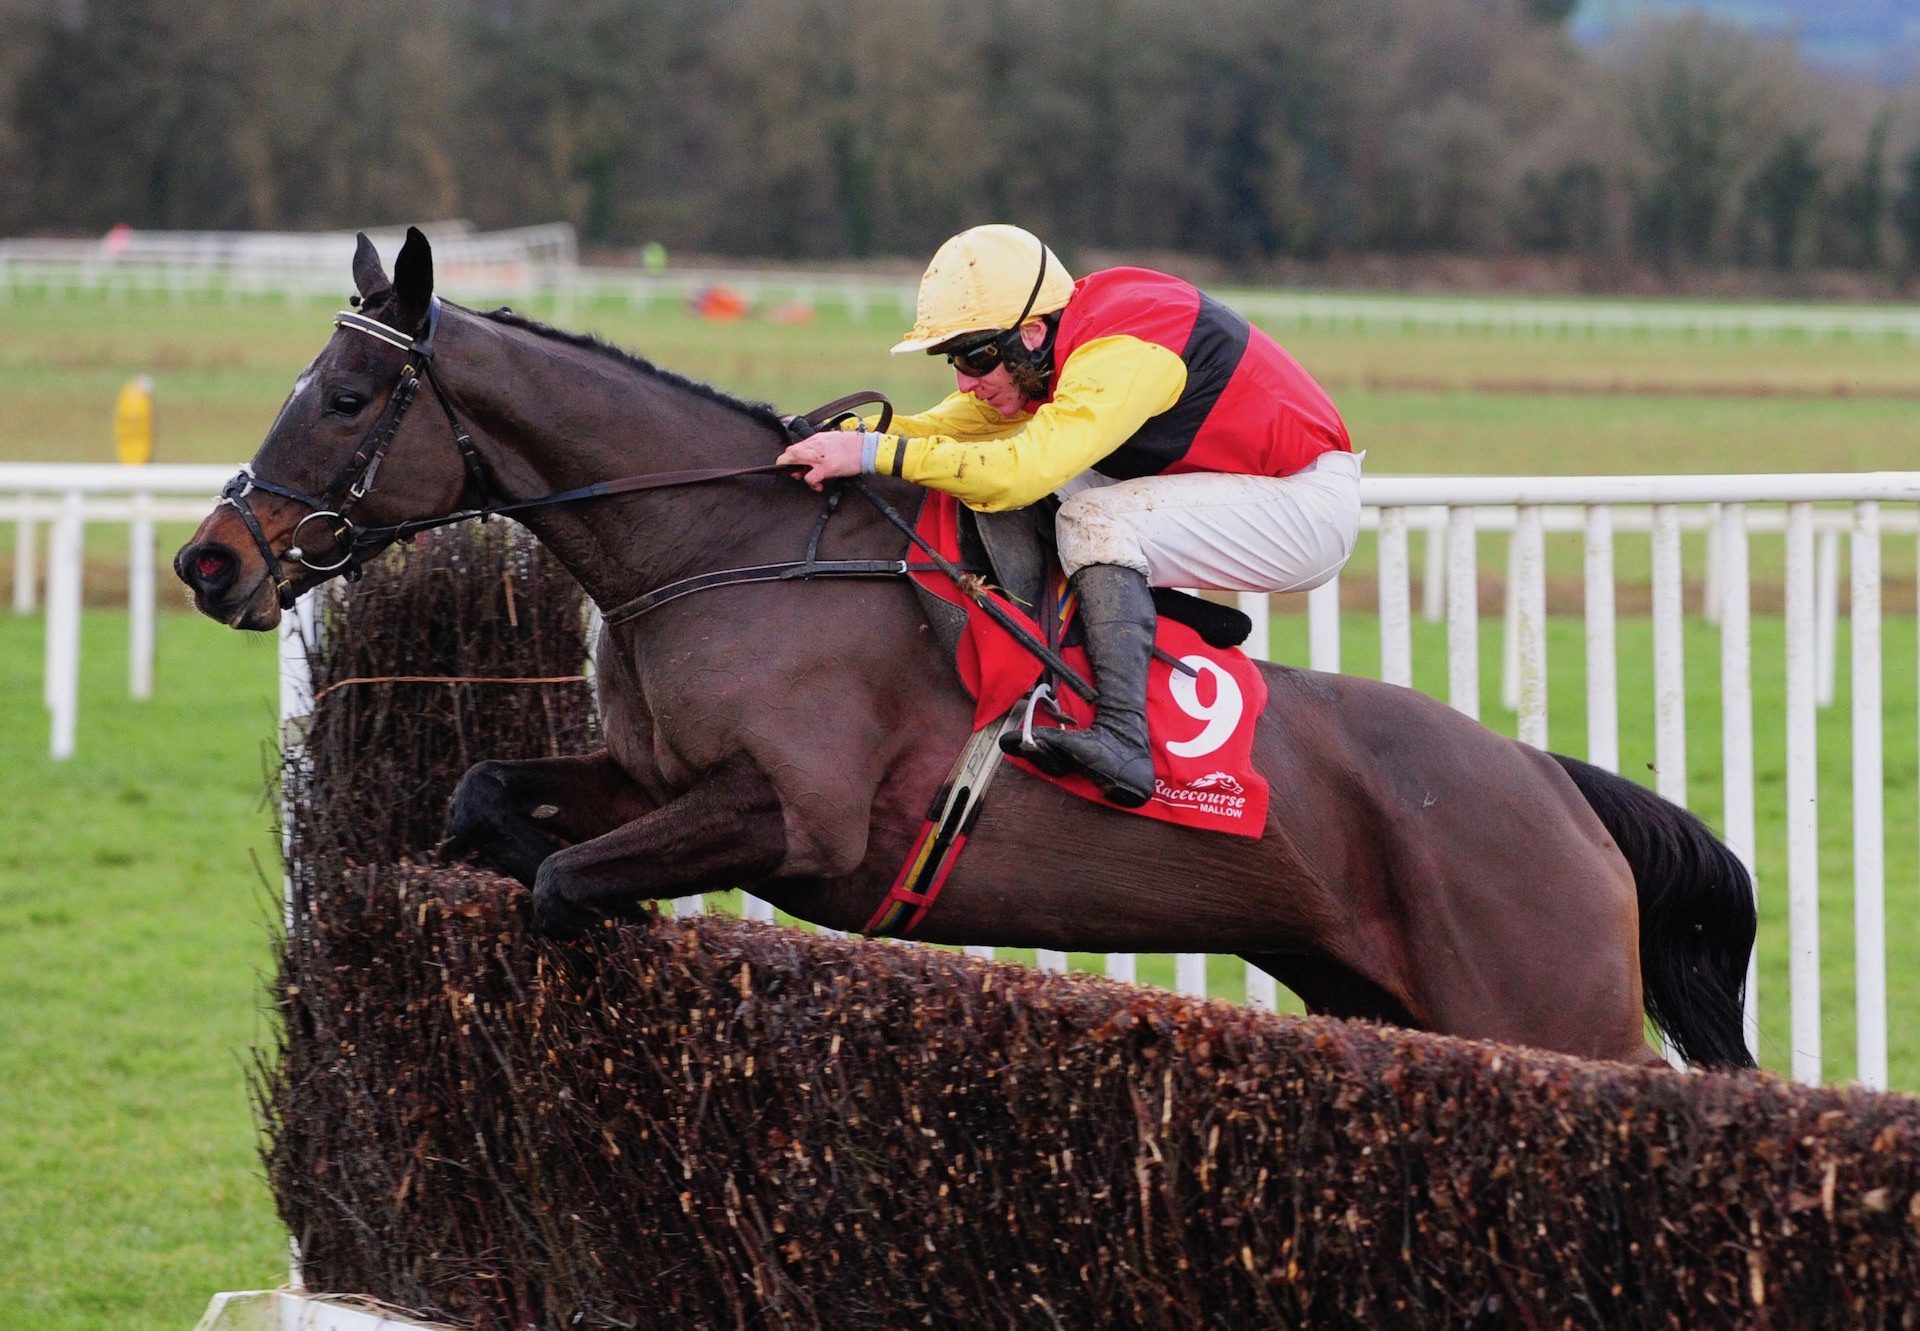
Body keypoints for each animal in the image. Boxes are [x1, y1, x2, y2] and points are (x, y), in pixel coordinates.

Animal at [176, 222, 1758, 1067]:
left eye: (345, 395)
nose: (211, 559)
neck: (720, 553)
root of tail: (1554, 787)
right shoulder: (662, 778)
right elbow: (490, 796)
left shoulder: (796, 818)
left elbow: (572, 877)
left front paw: (604, 907)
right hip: (1384, 999)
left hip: (1545, 1010)